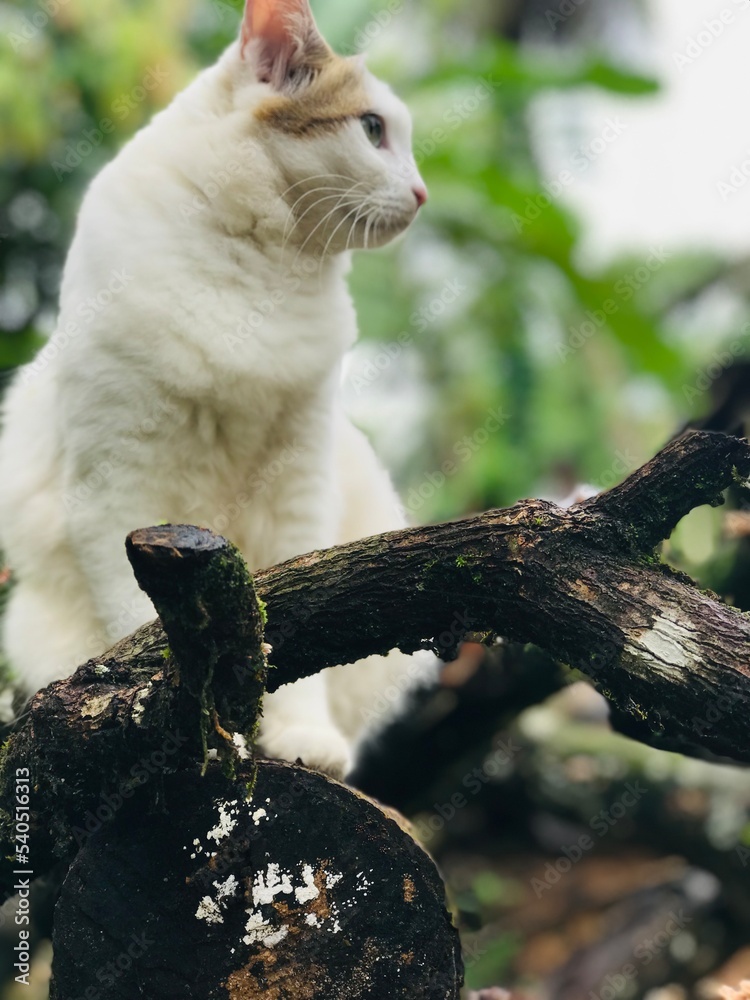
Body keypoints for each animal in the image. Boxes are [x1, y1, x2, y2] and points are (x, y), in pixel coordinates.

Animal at [0, 0, 434, 776]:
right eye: (373, 129)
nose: (421, 195)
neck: (260, 266)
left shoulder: (299, 488)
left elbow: (287, 631)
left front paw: (295, 735)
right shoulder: (117, 488)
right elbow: (141, 634)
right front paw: (169, 720)